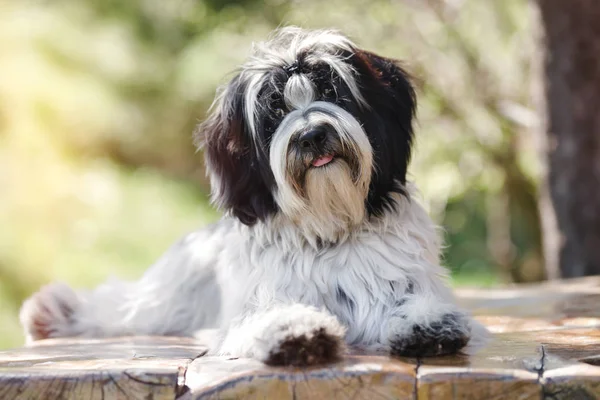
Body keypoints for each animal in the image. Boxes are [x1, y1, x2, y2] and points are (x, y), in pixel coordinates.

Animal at [21, 26, 486, 368]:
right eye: (274, 112)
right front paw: (292, 329)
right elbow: (264, 316)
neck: (329, 229)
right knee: (121, 305)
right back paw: (53, 311)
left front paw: (426, 322)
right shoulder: (255, 301)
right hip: (166, 294)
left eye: (333, 93)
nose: (312, 135)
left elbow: (408, 301)